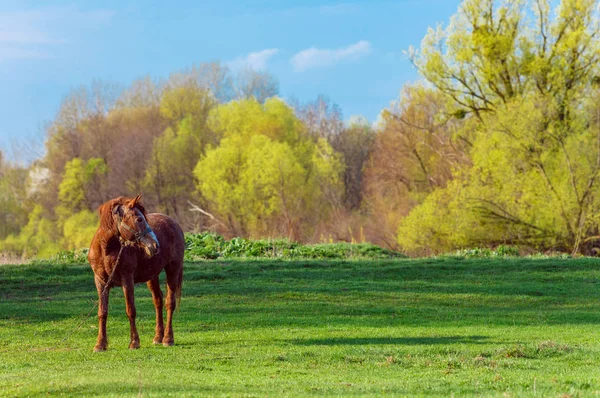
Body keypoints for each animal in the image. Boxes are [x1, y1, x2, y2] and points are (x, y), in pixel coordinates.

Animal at [88, 196, 184, 352]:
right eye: (139, 219)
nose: (155, 245)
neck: (106, 250)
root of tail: (174, 223)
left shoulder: (127, 280)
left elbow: (130, 310)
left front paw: (134, 342)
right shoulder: (100, 282)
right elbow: (102, 312)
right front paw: (100, 344)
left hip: (173, 270)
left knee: (170, 302)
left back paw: (168, 339)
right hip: (152, 276)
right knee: (158, 300)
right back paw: (158, 337)